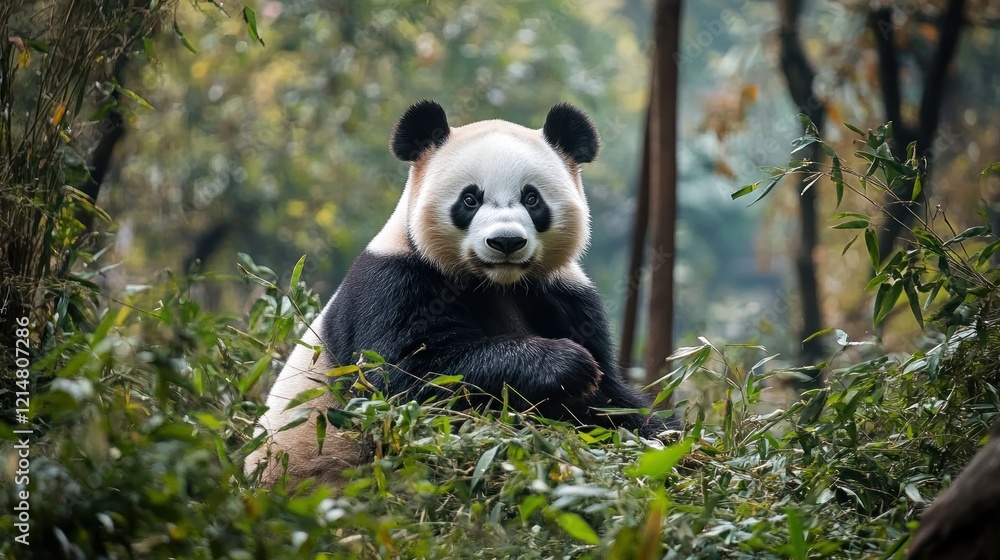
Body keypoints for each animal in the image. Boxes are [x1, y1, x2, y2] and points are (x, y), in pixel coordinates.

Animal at [246, 101, 668, 486]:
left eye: (532, 198)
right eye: (470, 199)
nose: (505, 242)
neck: (497, 283)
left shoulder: (562, 294)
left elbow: (611, 401)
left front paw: (658, 436)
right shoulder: (394, 283)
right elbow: (408, 378)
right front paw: (567, 365)